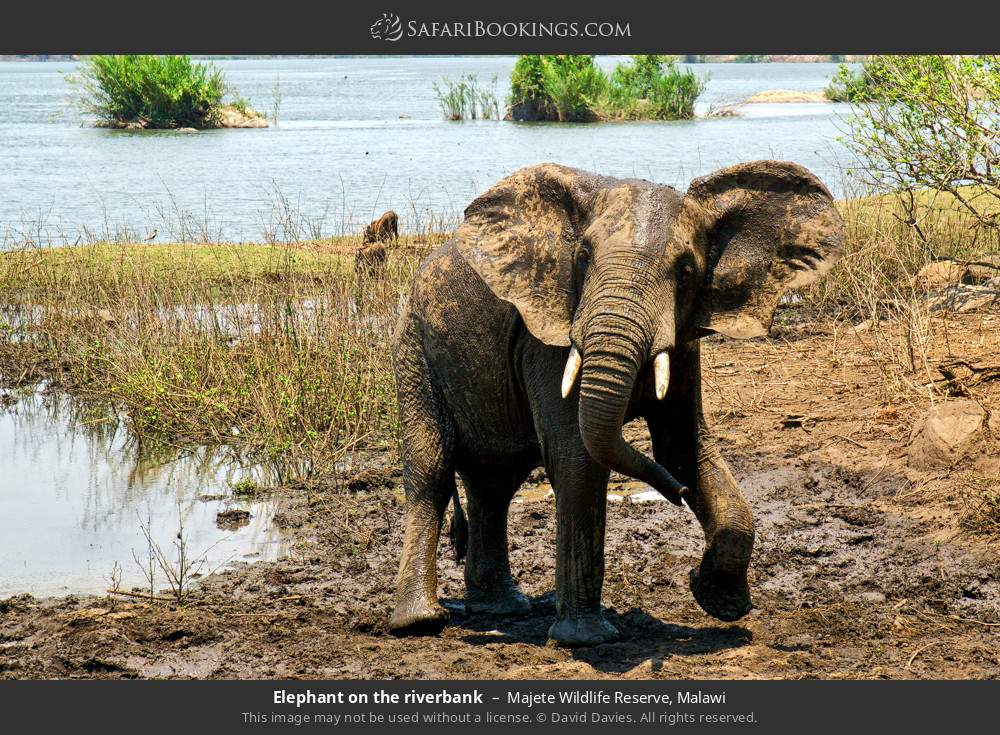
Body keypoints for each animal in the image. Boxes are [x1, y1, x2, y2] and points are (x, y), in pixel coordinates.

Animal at [390, 160, 844, 644]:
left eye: (686, 271)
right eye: (583, 257)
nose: (678, 494)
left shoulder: (683, 340)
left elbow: (683, 447)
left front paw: (719, 601)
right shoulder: (550, 335)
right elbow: (578, 459)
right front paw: (587, 639)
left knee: (494, 484)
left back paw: (501, 609)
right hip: (414, 347)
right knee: (432, 474)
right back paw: (420, 622)